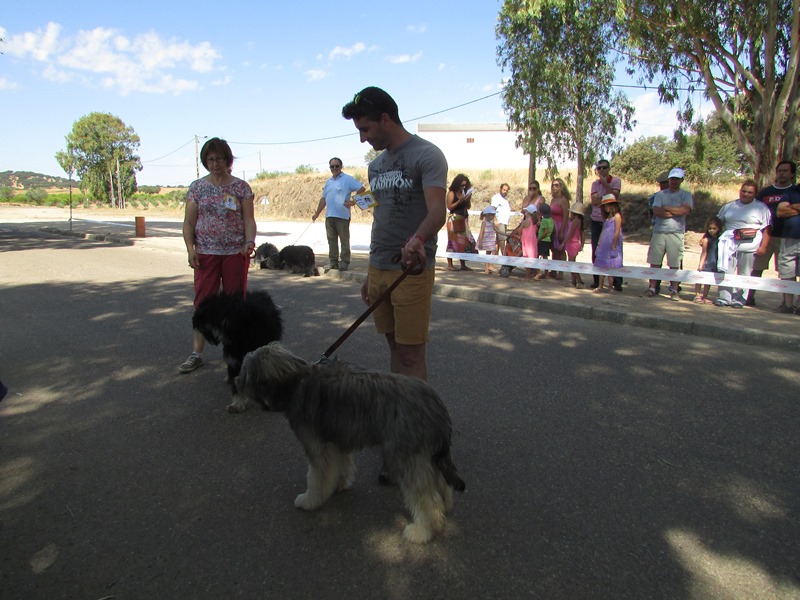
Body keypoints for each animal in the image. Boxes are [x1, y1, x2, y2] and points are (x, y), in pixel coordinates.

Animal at [234, 342, 466, 544]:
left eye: (245, 372)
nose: (235, 381)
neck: (296, 383)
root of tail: (436, 404)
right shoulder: (336, 441)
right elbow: (340, 466)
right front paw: (339, 484)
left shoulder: (317, 445)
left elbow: (316, 477)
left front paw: (310, 500)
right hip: (426, 455)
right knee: (440, 484)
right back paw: (446, 506)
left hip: (407, 456)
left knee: (427, 499)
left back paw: (423, 530)